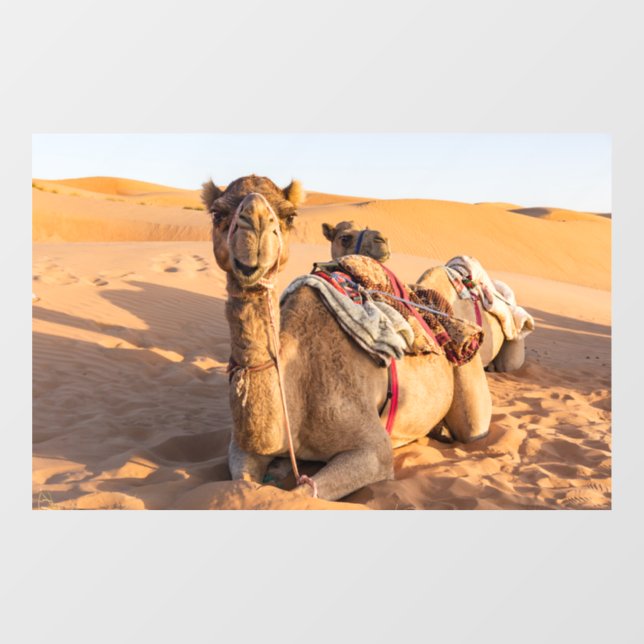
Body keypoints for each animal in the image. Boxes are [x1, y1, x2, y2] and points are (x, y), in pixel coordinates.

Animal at [203, 175, 491, 501]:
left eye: (289, 215)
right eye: (217, 213)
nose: (255, 225)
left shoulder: (374, 450)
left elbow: (299, 495)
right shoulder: (241, 447)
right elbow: (244, 483)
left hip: (468, 381)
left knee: (473, 427)